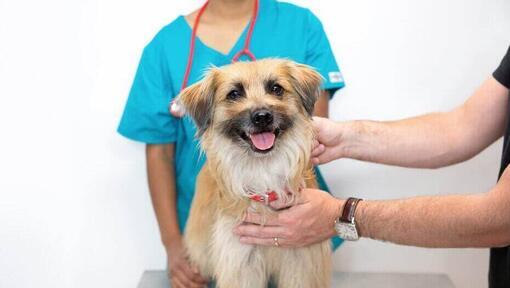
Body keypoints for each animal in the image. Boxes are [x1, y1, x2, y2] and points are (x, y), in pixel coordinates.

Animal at [177, 59, 332, 288]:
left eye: (276, 88)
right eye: (234, 94)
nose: (262, 117)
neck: (263, 170)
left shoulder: (301, 262)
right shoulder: (241, 261)